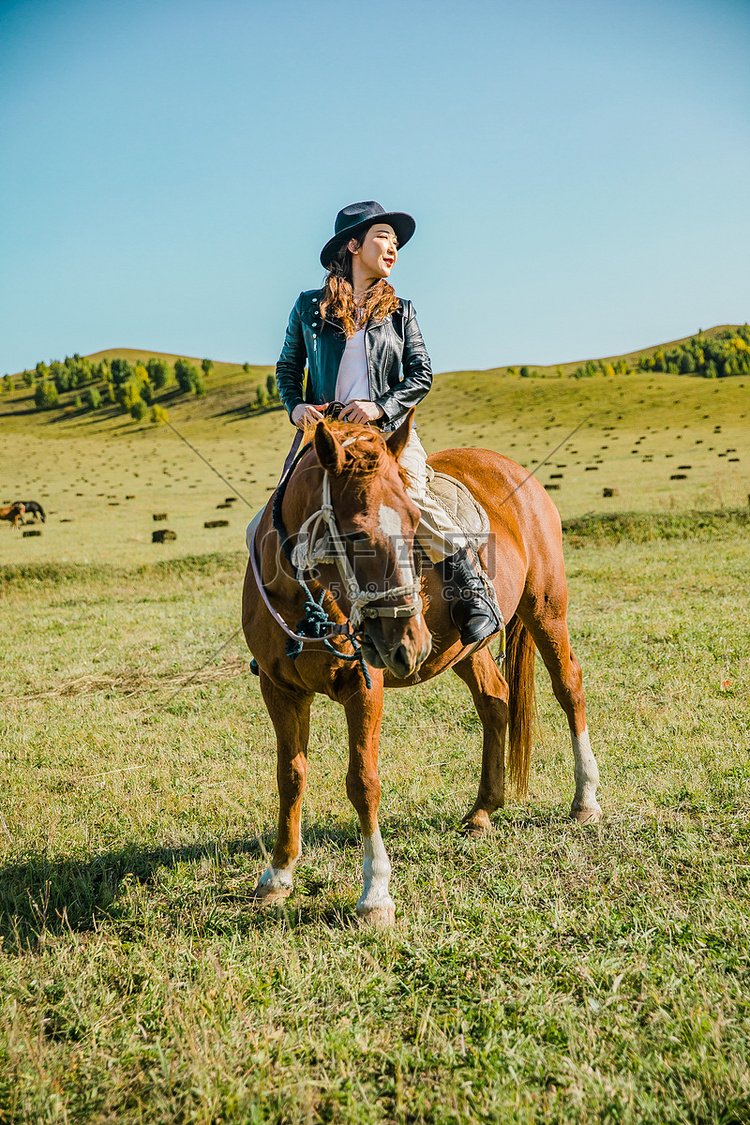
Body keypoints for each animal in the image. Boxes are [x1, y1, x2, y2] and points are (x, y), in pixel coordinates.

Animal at [244, 414, 602, 922]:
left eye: (414, 525)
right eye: (355, 535)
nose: (409, 643)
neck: (303, 599)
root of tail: (512, 469)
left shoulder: (363, 686)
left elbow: (363, 782)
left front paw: (375, 894)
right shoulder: (280, 690)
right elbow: (290, 777)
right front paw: (278, 874)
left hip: (546, 608)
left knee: (569, 688)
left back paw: (585, 799)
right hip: (466, 649)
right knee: (495, 702)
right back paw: (483, 811)